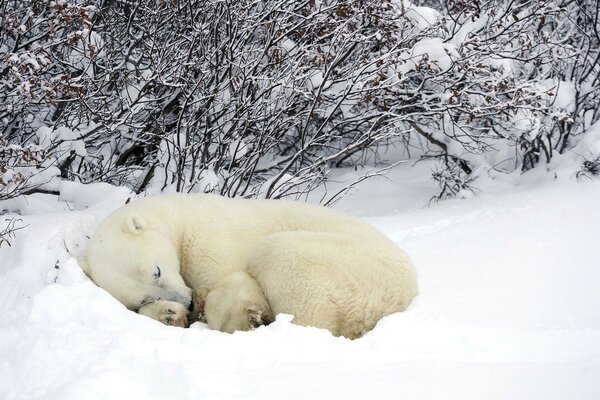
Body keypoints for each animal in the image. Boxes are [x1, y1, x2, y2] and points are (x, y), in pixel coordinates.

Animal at [83, 195, 418, 340]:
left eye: (157, 270)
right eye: (143, 297)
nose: (187, 303)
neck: (179, 216)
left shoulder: (209, 238)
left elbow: (230, 283)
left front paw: (241, 317)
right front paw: (169, 314)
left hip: (352, 267)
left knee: (281, 257)